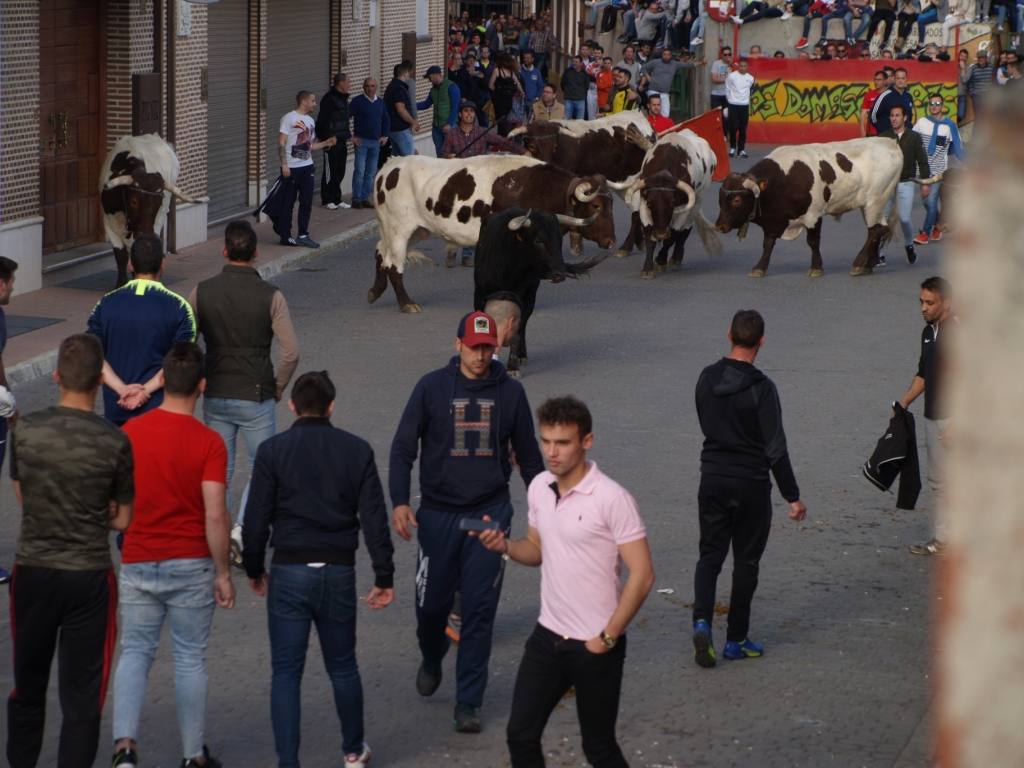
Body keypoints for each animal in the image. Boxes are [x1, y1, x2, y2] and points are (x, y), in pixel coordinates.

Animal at [98, 134, 196, 286]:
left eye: (158, 202)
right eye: (134, 201)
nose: (145, 232)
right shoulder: (108, 222)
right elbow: (120, 256)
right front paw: (120, 284)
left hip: (159, 219)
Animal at [366, 153, 610, 313]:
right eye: (596, 206)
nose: (611, 240)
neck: (532, 186)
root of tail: (391, 164)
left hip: (415, 230)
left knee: (380, 252)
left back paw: (375, 291)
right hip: (399, 230)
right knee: (393, 265)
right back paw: (406, 303)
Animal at [473, 211, 606, 374]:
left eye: (560, 240)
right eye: (538, 241)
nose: (560, 274)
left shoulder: (523, 299)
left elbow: (517, 331)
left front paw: (512, 366)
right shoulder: (480, 295)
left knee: (522, 326)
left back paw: (521, 355)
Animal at [606, 129, 720, 280]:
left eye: (672, 202)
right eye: (650, 202)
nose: (660, 233)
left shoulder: (683, 209)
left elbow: (673, 236)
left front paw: (660, 260)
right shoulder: (644, 205)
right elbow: (649, 237)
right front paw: (648, 268)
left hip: (697, 201)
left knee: (686, 229)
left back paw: (676, 258)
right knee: (636, 218)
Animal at [716, 137, 901, 278]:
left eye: (737, 200)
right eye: (720, 199)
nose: (719, 226)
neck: (783, 179)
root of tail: (890, 143)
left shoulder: (813, 215)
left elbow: (813, 242)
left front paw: (816, 268)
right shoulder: (772, 221)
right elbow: (768, 243)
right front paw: (760, 267)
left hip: (874, 202)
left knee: (875, 231)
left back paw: (860, 263)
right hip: (873, 205)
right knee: (879, 229)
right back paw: (867, 264)